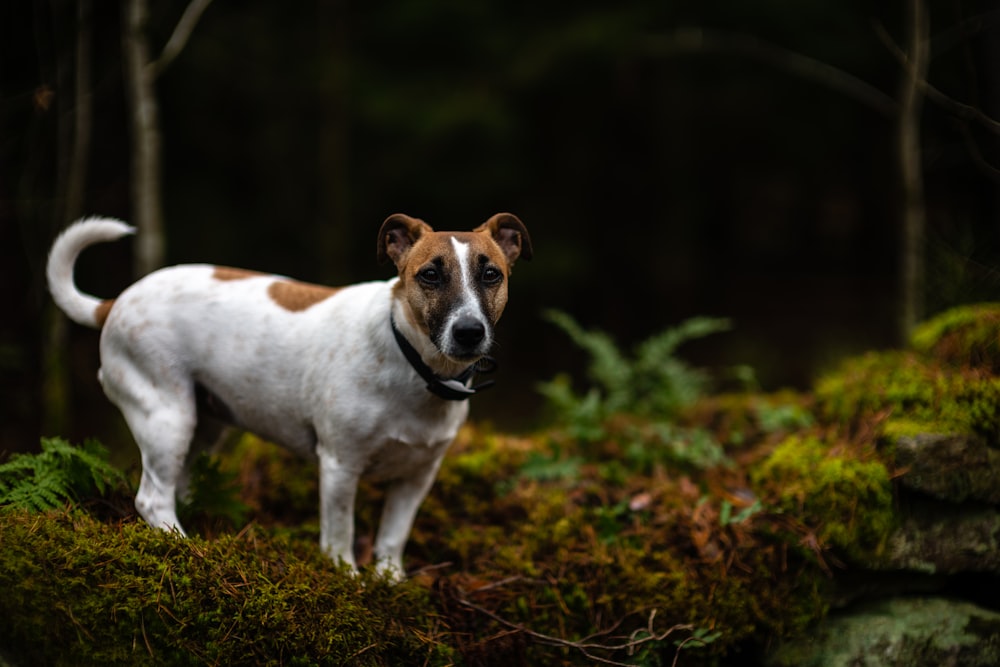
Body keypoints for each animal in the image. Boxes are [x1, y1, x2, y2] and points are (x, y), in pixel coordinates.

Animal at [48, 214, 532, 580]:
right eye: (429, 274)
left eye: (491, 274)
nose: (469, 332)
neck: (413, 364)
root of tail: (115, 301)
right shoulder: (339, 465)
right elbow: (339, 533)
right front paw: (349, 579)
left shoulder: (417, 476)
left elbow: (393, 535)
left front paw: (389, 579)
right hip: (166, 416)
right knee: (152, 497)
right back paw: (184, 548)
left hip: (204, 427)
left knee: (175, 487)